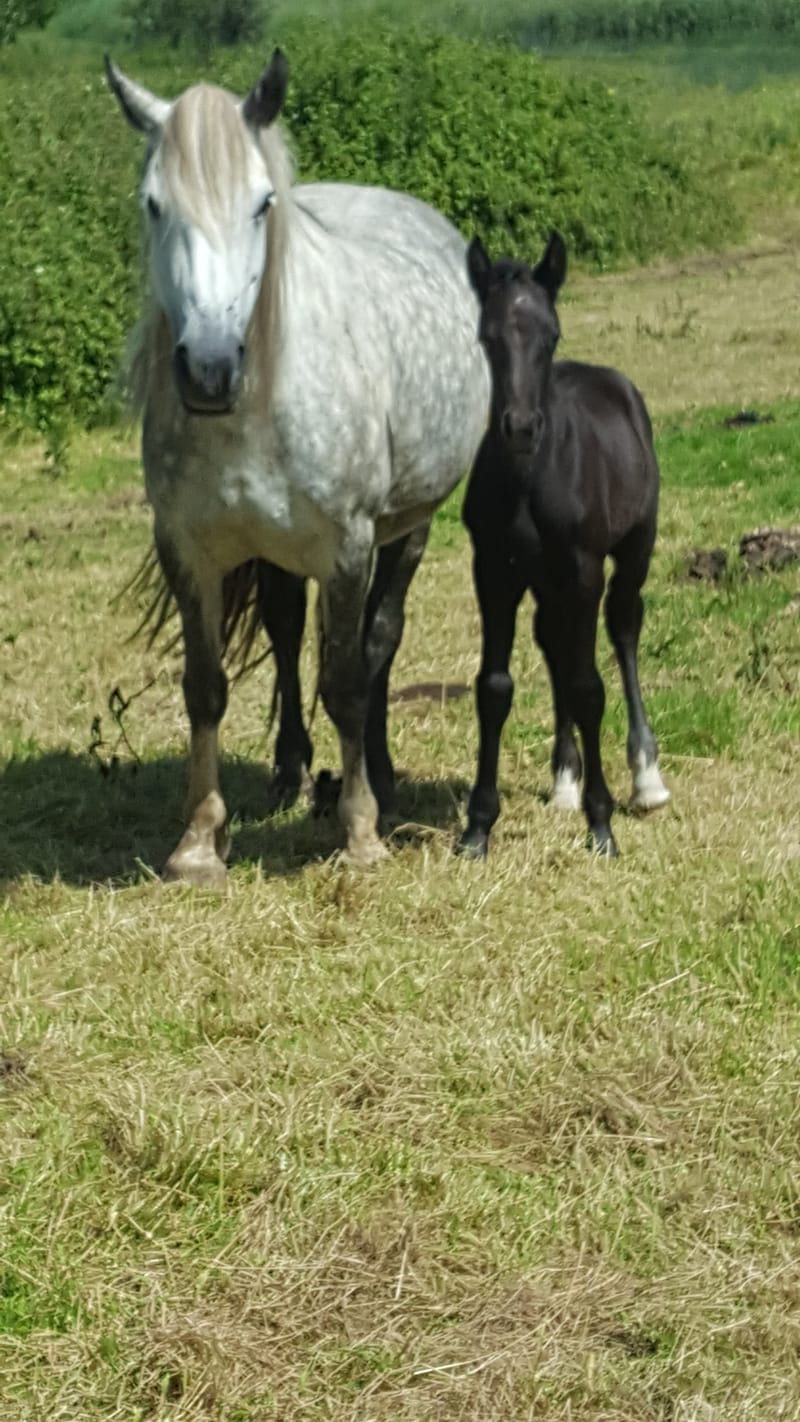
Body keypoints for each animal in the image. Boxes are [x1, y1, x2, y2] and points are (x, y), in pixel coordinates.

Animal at [104, 50, 489, 885]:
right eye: (154, 205)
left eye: (260, 206)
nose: (209, 370)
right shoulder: (187, 549)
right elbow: (206, 688)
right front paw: (198, 841)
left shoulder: (347, 546)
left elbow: (346, 678)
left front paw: (362, 829)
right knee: (284, 631)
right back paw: (289, 769)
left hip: (407, 529)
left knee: (378, 643)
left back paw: (374, 773)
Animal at [459, 231, 670, 860]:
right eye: (488, 335)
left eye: (551, 334)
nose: (521, 427)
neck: (530, 477)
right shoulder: (494, 573)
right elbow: (494, 687)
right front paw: (477, 827)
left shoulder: (582, 570)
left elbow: (587, 686)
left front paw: (602, 826)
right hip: (545, 580)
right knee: (552, 642)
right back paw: (564, 780)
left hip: (631, 552)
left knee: (623, 627)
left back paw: (646, 778)